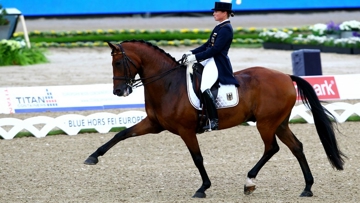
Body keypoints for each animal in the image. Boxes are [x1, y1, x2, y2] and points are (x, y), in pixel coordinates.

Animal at [84, 40, 346, 198]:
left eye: (118, 62)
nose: (119, 92)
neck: (168, 84)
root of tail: (285, 76)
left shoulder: (186, 130)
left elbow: (197, 158)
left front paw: (203, 188)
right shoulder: (154, 124)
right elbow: (121, 134)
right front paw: (93, 157)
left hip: (266, 123)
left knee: (272, 148)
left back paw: (249, 182)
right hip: (279, 123)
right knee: (296, 147)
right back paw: (307, 187)